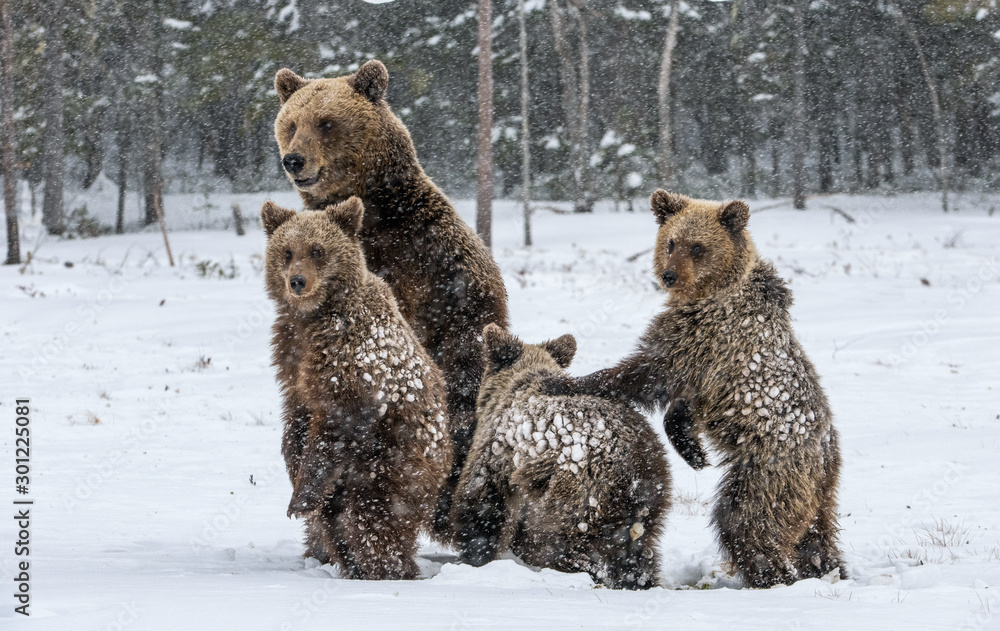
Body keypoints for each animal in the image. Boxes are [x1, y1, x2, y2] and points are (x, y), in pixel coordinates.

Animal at [262, 196, 452, 580]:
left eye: (318, 250)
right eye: (287, 251)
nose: (297, 281)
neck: (314, 317)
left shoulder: (352, 360)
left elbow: (340, 419)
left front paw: (300, 498)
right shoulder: (291, 354)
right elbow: (297, 413)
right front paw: (293, 462)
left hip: (391, 462)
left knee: (373, 519)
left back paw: (388, 569)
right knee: (336, 522)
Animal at [451, 323, 670, 590]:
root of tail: (634, 466)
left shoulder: (497, 454)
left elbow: (481, 506)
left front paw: (476, 557)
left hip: (579, 491)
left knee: (562, 543)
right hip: (652, 496)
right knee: (637, 554)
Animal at [541, 190, 844, 588]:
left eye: (698, 247)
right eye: (671, 242)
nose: (669, 275)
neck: (706, 291)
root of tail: (825, 456)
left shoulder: (703, 336)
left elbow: (643, 371)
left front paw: (560, 380)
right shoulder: (703, 368)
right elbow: (680, 403)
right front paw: (693, 450)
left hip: (769, 470)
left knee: (746, 521)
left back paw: (771, 574)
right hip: (819, 493)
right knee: (817, 536)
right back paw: (829, 567)